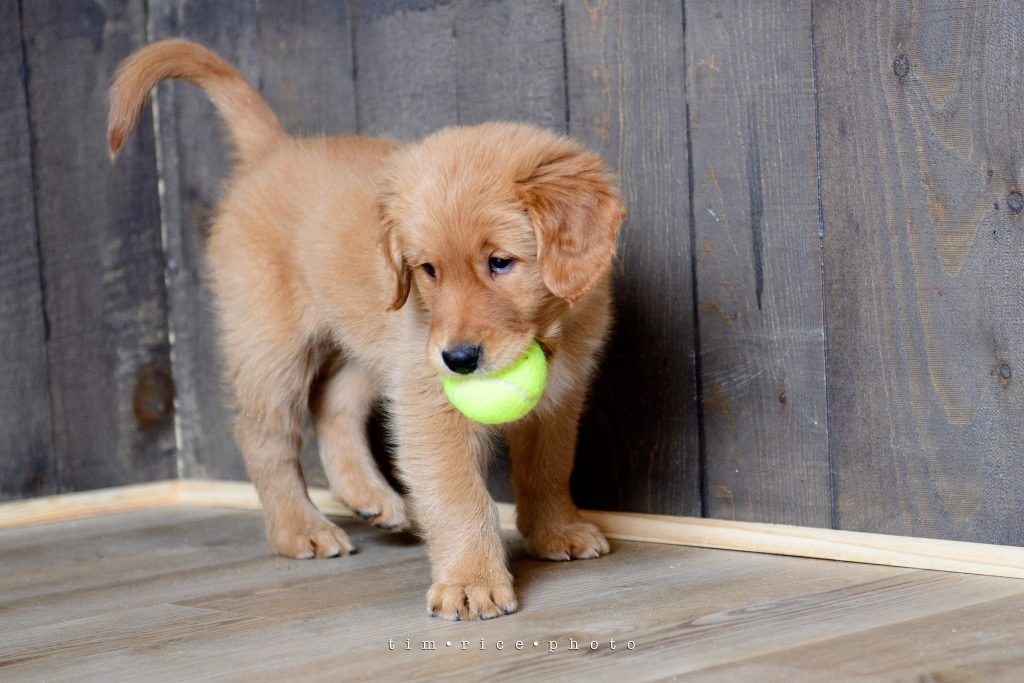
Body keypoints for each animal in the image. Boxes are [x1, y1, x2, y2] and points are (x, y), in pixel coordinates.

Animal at [108, 40, 625, 620]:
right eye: (428, 270)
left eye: (500, 262)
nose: (459, 360)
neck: (545, 331)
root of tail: (276, 148)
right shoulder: (429, 402)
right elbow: (460, 496)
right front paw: (471, 581)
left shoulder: (559, 397)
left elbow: (549, 467)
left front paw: (555, 531)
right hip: (272, 340)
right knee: (264, 432)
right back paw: (298, 529)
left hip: (372, 348)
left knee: (332, 405)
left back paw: (370, 498)